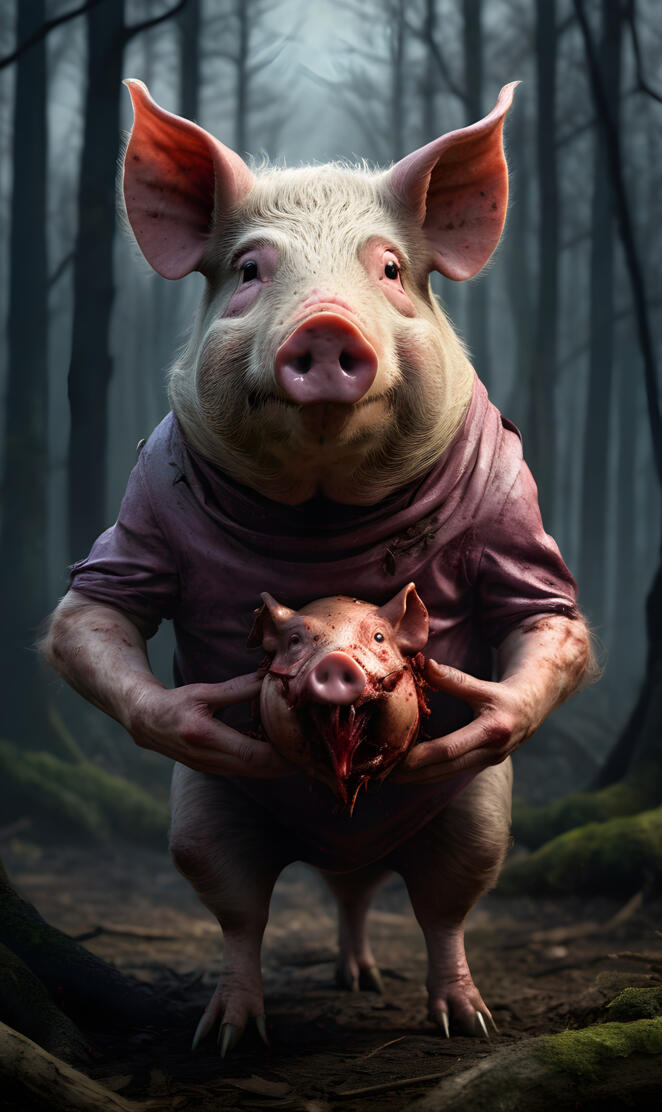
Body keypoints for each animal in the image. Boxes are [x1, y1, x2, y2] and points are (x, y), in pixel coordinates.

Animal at [41, 78, 592, 1056]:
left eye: (390, 271)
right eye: (251, 270)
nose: (327, 325)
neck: (324, 507)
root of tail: (347, 845)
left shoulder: (510, 500)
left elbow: (542, 606)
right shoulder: (146, 498)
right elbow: (96, 610)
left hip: (479, 817)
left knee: (438, 907)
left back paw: (461, 1022)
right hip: (201, 817)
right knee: (244, 910)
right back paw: (229, 1035)